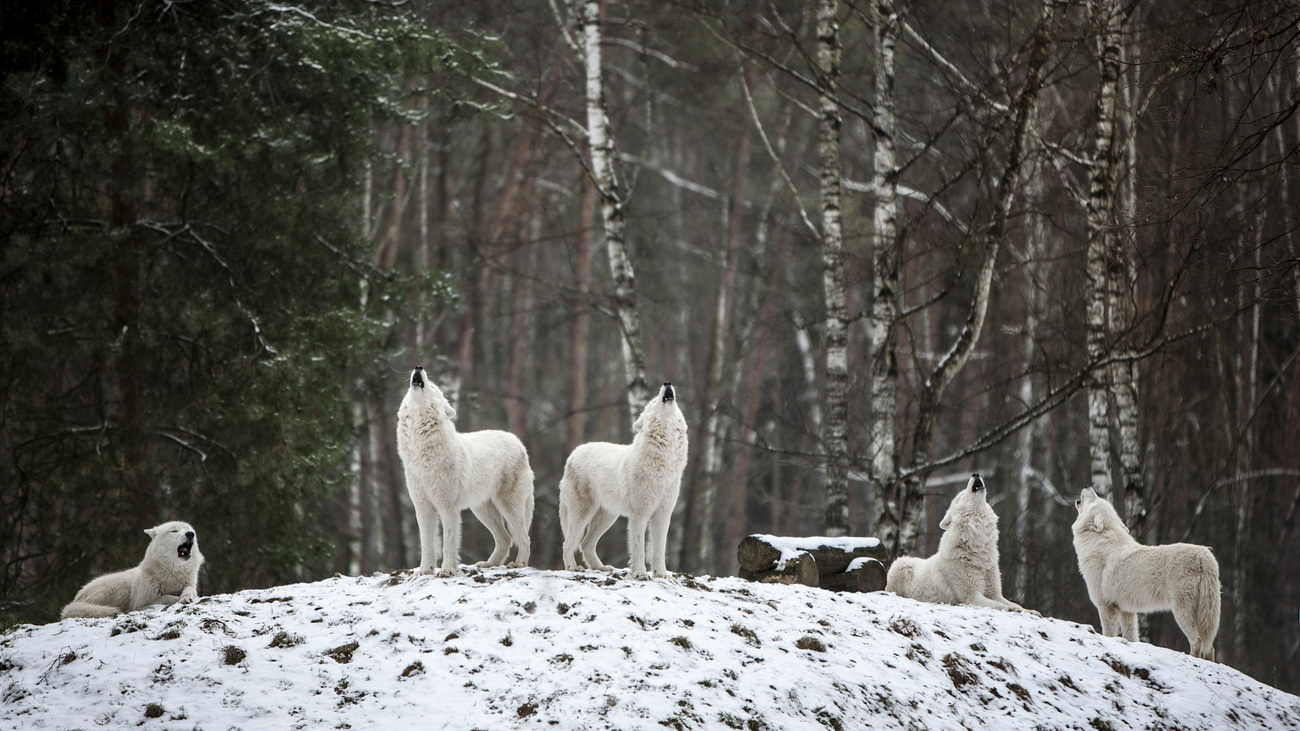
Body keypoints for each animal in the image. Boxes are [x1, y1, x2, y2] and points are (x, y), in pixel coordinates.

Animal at [61, 520, 204, 616]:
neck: (173, 573)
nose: (190, 534)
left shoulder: (189, 583)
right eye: (174, 530)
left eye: (189, 530)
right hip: (121, 586)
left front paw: (186, 597)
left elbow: (190, 589)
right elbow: (163, 598)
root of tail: (75, 600)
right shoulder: (140, 603)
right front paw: (176, 598)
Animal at [397, 364, 535, 574]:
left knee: (524, 538)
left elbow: (448, 541)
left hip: (508, 506)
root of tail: (518, 443)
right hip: (482, 510)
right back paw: (489, 564)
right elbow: (427, 544)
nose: (419, 367)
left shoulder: (448, 507)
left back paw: (519, 564)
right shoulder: (423, 507)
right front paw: (425, 571)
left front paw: (447, 570)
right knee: (506, 539)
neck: (422, 452)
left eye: (434, 387)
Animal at [559, 382, 691, 580]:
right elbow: (639, 547)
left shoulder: (663, 515)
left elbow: (659, 550)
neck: (664, 464)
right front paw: (640, 573)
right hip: (583, 514)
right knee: (568, 543)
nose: (667, 383)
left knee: (585, 544)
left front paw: (661, 574)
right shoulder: (640, 514)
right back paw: (573, 568)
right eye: (653, 402)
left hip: (607, 517)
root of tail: (573, 454)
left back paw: (601, 567)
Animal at [889, 476, 1029, 611]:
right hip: (901, 564)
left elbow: (1014, 604)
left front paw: (1028, 611)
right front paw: (1011, 609)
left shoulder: (994, 593)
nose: (975, 474)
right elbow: (999, 605)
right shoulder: (972, 596)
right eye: (961, 495)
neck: (978, 549)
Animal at [1066, 486, 1216, 658]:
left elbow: (1108, 634)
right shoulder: (1127, 611)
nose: (1088, 487)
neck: (1100, 542)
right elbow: (1130, 637)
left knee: (1197, 641)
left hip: (1181, 610)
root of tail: (1204, 556)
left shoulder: (1105, 606)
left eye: (1094, 500)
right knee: (1210, 647)